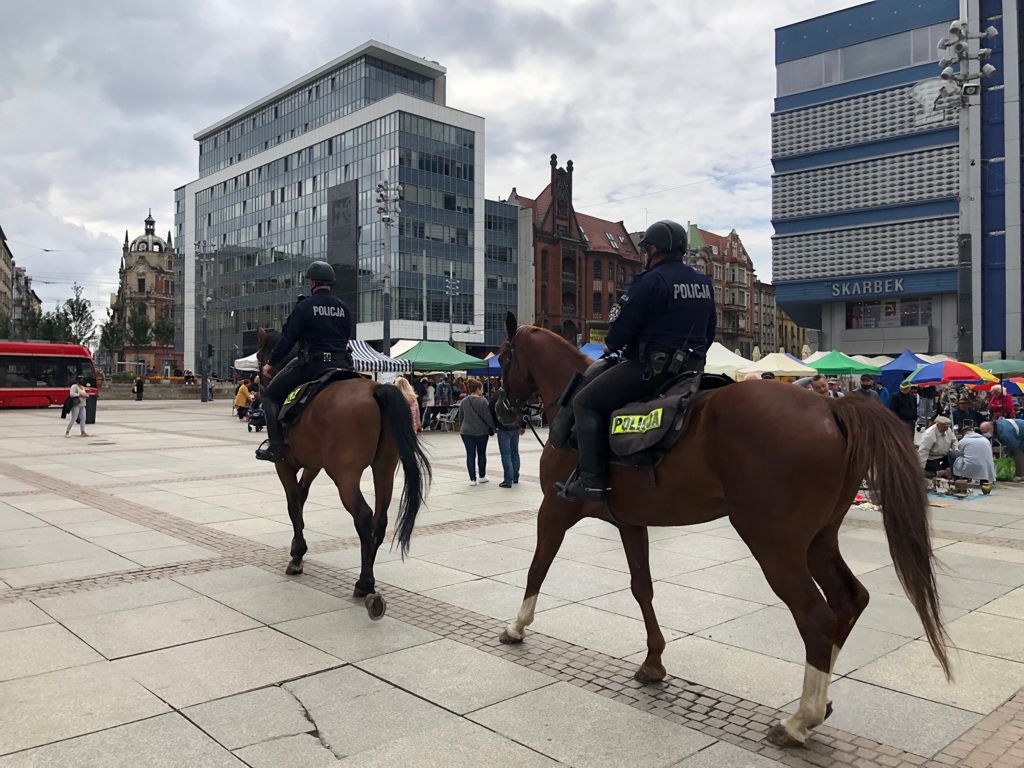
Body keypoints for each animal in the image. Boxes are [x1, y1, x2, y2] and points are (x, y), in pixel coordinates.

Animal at [256, 329, 432, 618]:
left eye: (261, 357)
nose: (261, 378)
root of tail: (376, 388)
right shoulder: (313, 465)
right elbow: (301, 498)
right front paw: (298, 551)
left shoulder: (285, 466)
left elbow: (293, 505)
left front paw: (297, 555)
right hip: (384, 467)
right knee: (379, 520)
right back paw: (367, 581)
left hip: (345, 475)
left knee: (363, 515)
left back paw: (364, 583)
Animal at [491, 313, 946, 753]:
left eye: (505, 354)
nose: (501, 408)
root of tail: (830, 410)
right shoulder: (631, 522)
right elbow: (642, 588)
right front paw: (653, 661)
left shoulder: (554, 510)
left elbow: (537, 568)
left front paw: (517, 626)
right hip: (818, 539)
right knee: (849, 599)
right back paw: (822, 698)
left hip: (773, 544)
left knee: (816, 617)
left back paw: (800, 720)